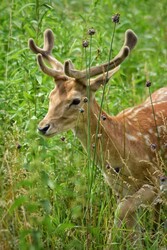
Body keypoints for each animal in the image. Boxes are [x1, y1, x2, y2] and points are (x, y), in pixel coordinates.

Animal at [28, 28, 166, 247]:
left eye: (76, 100)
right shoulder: (119, 188)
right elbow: (130, 225)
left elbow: (122, 211)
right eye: (50, 96)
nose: (43, 127)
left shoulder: (158, 178)